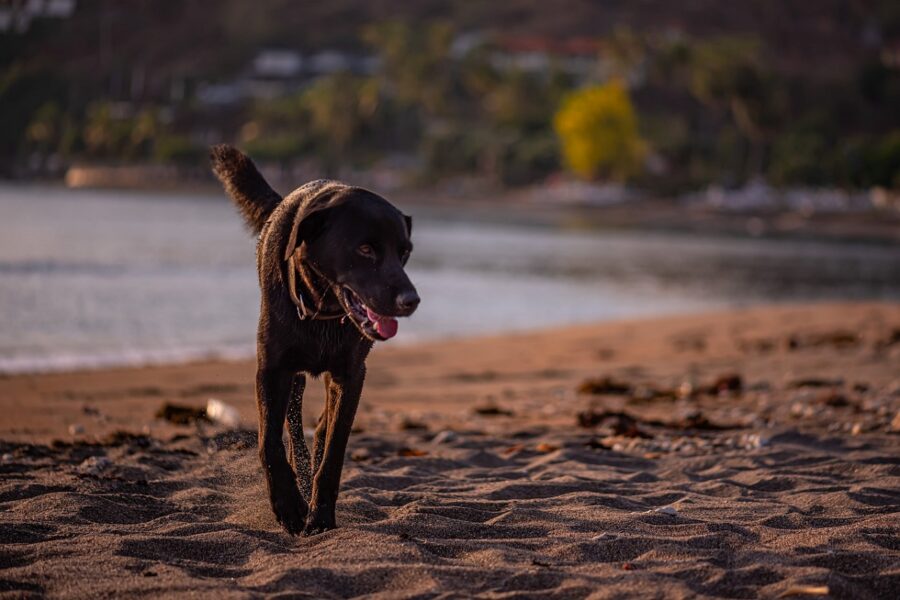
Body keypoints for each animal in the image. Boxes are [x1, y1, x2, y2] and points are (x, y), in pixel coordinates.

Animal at [211, 145, 418, 536]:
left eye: (404, 253)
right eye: (365, 249)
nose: (411, 300)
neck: (323, 309)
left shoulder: (351, 376)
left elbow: (334, 448)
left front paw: (320, 516)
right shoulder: (272, 368)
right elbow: (270, 442)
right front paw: (289, 506)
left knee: (321, 428)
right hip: (293, 377)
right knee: (293, 429)